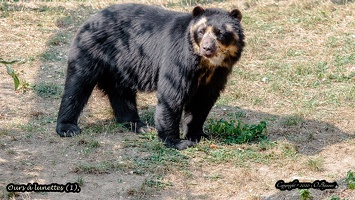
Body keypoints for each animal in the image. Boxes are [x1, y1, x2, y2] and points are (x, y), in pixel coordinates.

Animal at [56, 3, 245, 150]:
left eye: (220, 33)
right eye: (201, 31)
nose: (206, 48)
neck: (205, 65)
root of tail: (89, 19)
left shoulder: (218, 73)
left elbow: (203, 101)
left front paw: (198, 135)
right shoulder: (178, 59)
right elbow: (172, 95)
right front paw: (177, 142)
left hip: (122, 64)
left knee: (120, 93)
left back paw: (138, 125)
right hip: (91, 50)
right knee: (77, 85)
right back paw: (68, 128)